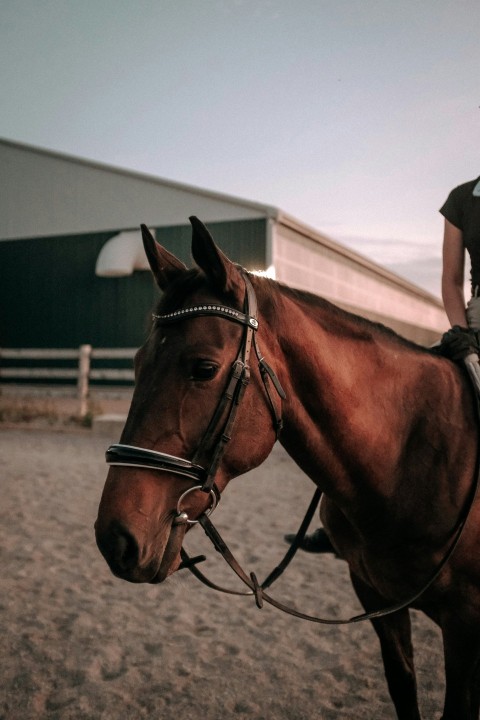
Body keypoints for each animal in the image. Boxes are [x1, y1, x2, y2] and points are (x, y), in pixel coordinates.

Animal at [95, 216, 480, 720]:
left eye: (204, 368)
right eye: (138, 364)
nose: (114, 537)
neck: (408, 462)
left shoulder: (464, 623)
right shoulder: (379, 600)